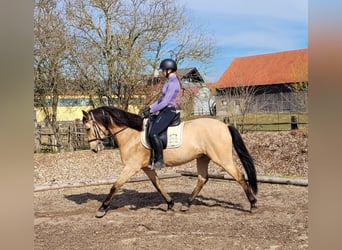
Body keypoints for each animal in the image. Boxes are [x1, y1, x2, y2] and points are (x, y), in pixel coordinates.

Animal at [81, 106, 256, 218]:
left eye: (88, 128)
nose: (94, 149)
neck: (131, 133)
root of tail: (225, 125)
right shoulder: (146, 167)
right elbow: (157, 184)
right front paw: (170, 204)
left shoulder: (132, 167)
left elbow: (115, 186)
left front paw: (102, 209)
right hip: (202, 157)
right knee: (202, 179)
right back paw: (186, 205)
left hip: (222, 158)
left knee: (239, 176)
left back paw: (253, 204)